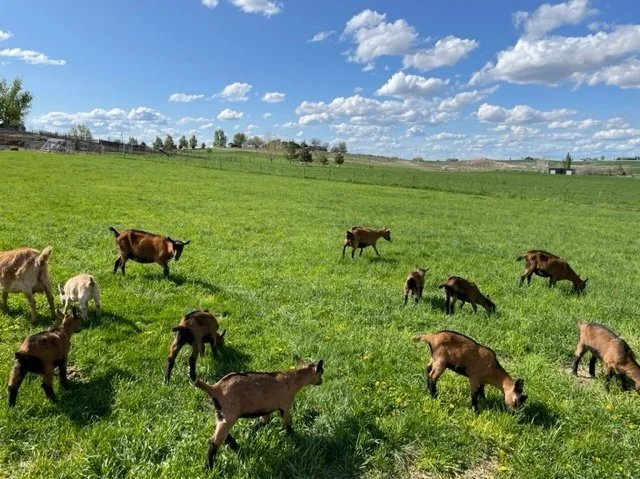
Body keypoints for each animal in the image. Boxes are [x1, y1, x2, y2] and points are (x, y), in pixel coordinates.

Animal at [194, 357, 324, 469]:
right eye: (321, 373)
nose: (321, 382)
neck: (293, 379)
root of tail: (213, 388)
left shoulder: (266, 409)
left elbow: (263, 422)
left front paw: (249, 433)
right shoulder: (285, 406)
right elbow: (288, 424)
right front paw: (295, 439)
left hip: (221, 414)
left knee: (223, 434)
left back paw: (236, 447)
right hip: (229, 415)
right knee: (214, 441)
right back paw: (209, 467)